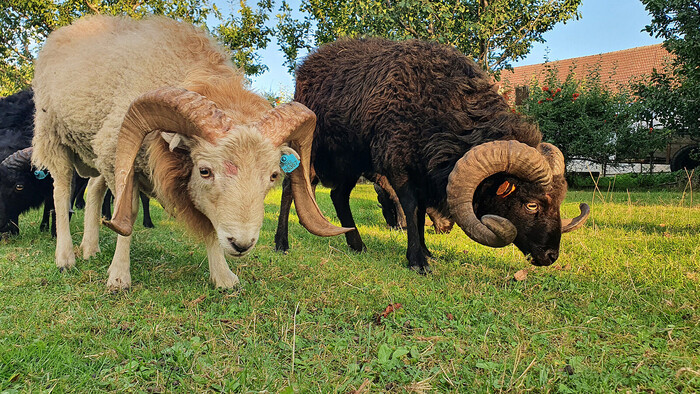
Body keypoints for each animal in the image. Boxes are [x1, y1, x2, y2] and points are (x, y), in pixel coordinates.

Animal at [276, 39, 588, 274]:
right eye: (531, 204)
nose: (550, 256)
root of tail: (306, 66)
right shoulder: (398, 163)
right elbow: (412, 207)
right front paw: (417, 261)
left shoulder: (424, 170)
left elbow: (421, 210)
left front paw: (426, 251)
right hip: (313, 151)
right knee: (291, 188)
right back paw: (282, 244)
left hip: (351, 160)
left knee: (338, 195)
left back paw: (357, 245)